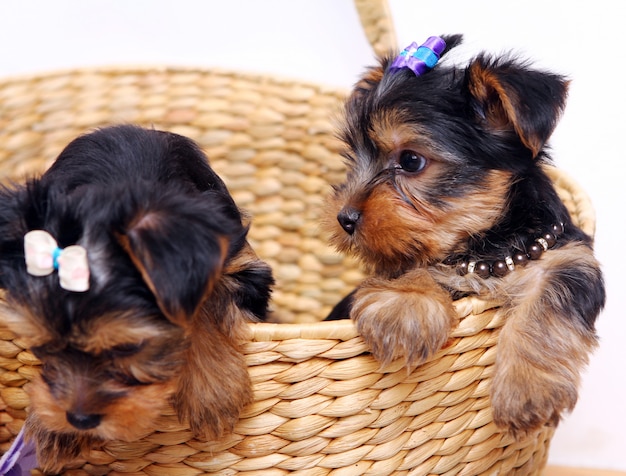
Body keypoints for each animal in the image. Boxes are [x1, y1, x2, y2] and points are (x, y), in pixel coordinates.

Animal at [0, 125, 272, 472]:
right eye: (42, 346)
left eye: (129, 347)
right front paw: (54, 427)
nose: (80, 418)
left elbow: (202, 299)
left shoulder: (240, 262)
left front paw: (212, 391)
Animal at [324, 35, 604, 438]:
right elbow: (414, 263)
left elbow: (553, 296)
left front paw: (527, 390)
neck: (483, 249)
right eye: (353, 158)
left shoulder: (568, 255)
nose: (344, 217)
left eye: (411, 161)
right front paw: (405, 306)